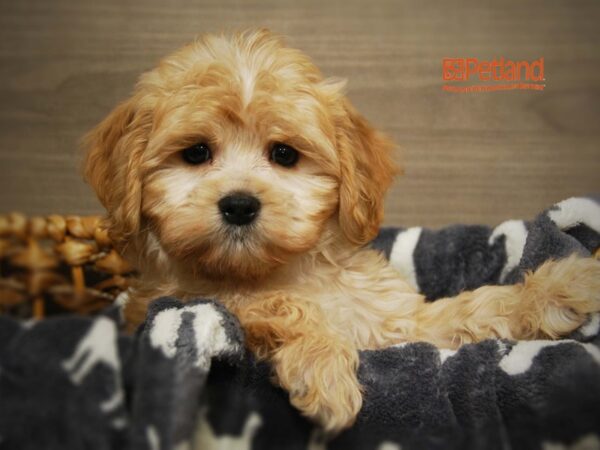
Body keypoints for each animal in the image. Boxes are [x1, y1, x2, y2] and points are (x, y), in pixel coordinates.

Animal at [83, 29, 600, 432]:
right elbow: (275, 305)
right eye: (195, 153)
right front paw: (325, 368)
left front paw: (561, 288)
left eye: (285, 154)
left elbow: (465, 311)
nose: (239, 204)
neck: (282, 269)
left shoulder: (393, 324)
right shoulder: (182, 301)